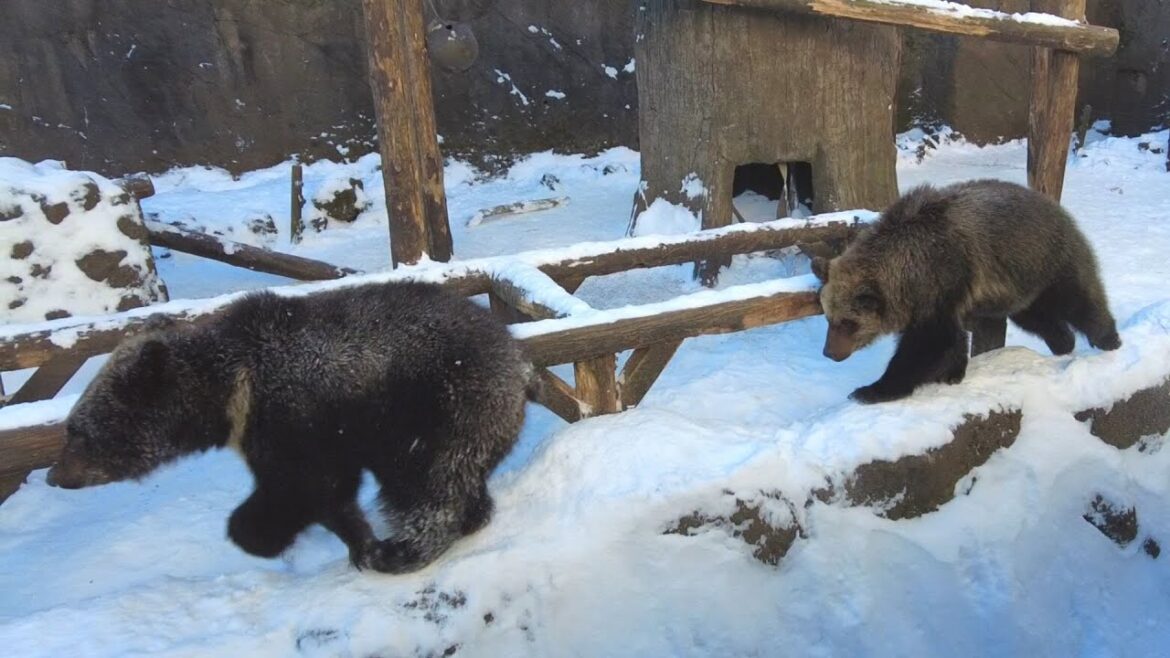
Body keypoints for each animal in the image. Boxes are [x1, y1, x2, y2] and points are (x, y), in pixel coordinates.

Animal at [46, 281, 537, 574]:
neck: (232, 391)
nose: (56, 475)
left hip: (438, 403)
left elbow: (308, 488)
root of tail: (515, 356)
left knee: (428, 480)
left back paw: (406, 549)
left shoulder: (293, 418)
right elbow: (316, 493)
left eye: (77, 431)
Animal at [811, 179, 1120, 404]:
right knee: (1039, 319)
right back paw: (1063, 344)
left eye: (848, 322)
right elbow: (951, 340)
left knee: (1078, 300)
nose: (829, 352)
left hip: (1044, 261)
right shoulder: (942, 295)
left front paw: (870, 390)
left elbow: (928, 344)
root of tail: (1057, 208)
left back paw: (1108, 338)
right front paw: (952, 374)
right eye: (828, 318)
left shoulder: (941, 281)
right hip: (1019, 290)